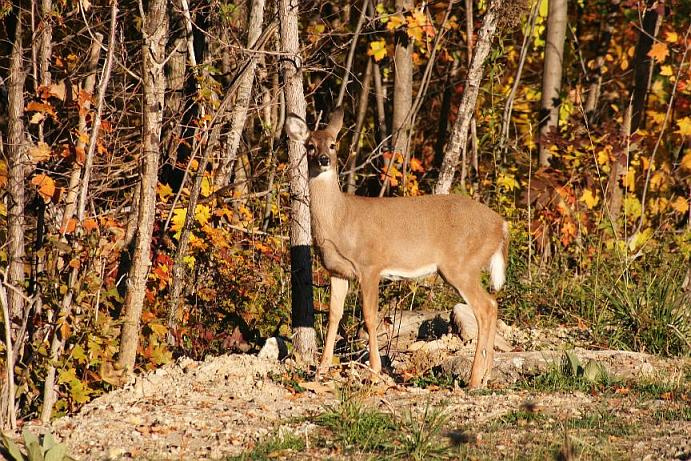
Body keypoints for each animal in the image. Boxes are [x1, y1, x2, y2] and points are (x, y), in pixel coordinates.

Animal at [284, 108, 509, 388]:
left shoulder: (370, 265)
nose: (324, 159)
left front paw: (375, 372)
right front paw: (320, 371)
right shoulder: (337, 271)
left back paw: (474, 379)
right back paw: (486, 376)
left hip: (461, 264)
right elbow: (334, 316)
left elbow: (370, 317)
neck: (340, 219)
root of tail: (501, 225)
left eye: (334, 144)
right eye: (310, 146)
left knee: (485, 307)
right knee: (493, 304)